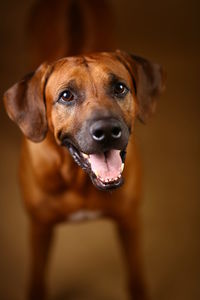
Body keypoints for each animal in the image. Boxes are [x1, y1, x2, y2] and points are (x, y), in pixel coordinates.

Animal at [3, 0, 166, 300]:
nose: (107, 131)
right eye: (66, 95)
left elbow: (136, 278)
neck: (79, 180)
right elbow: (37, 281)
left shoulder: (129, 222)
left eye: (120, 87)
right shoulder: (39, 227)